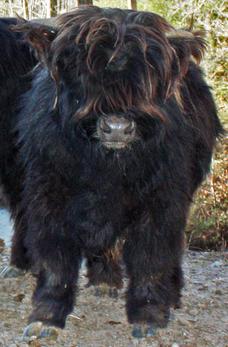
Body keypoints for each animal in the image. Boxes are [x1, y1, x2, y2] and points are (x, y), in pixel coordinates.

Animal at [0, 6, 224, 340]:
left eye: (148, 74)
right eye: (82, 71)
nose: (117, 126)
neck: (105, 169)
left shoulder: (163, 199)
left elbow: (152, 255)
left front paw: (148, 315)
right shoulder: (49, 192)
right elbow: (55, 257)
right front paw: (46, 316)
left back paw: (170, 294)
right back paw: (102, 281)